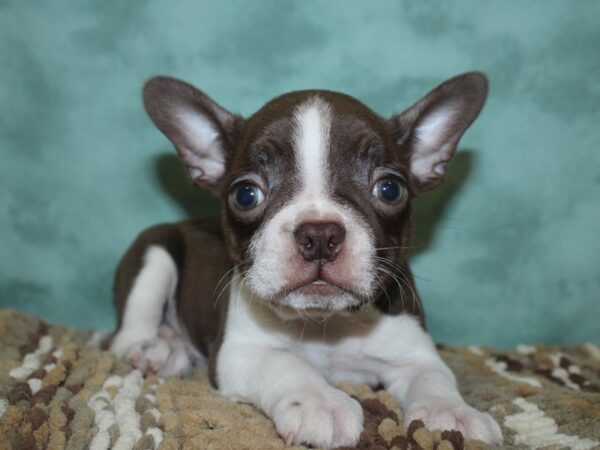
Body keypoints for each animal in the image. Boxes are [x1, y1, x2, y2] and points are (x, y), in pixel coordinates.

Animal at [111, 72, 502, 448]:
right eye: (245, 194)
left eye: (390, 189)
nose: (319, 235)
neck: (326, 324)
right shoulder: (239, 351)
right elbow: (285, 363)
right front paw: (321, 403)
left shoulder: (412, 349)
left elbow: (434, 376)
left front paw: (452, 412)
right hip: (154, 252)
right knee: (126, 333)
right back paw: (155, 347)